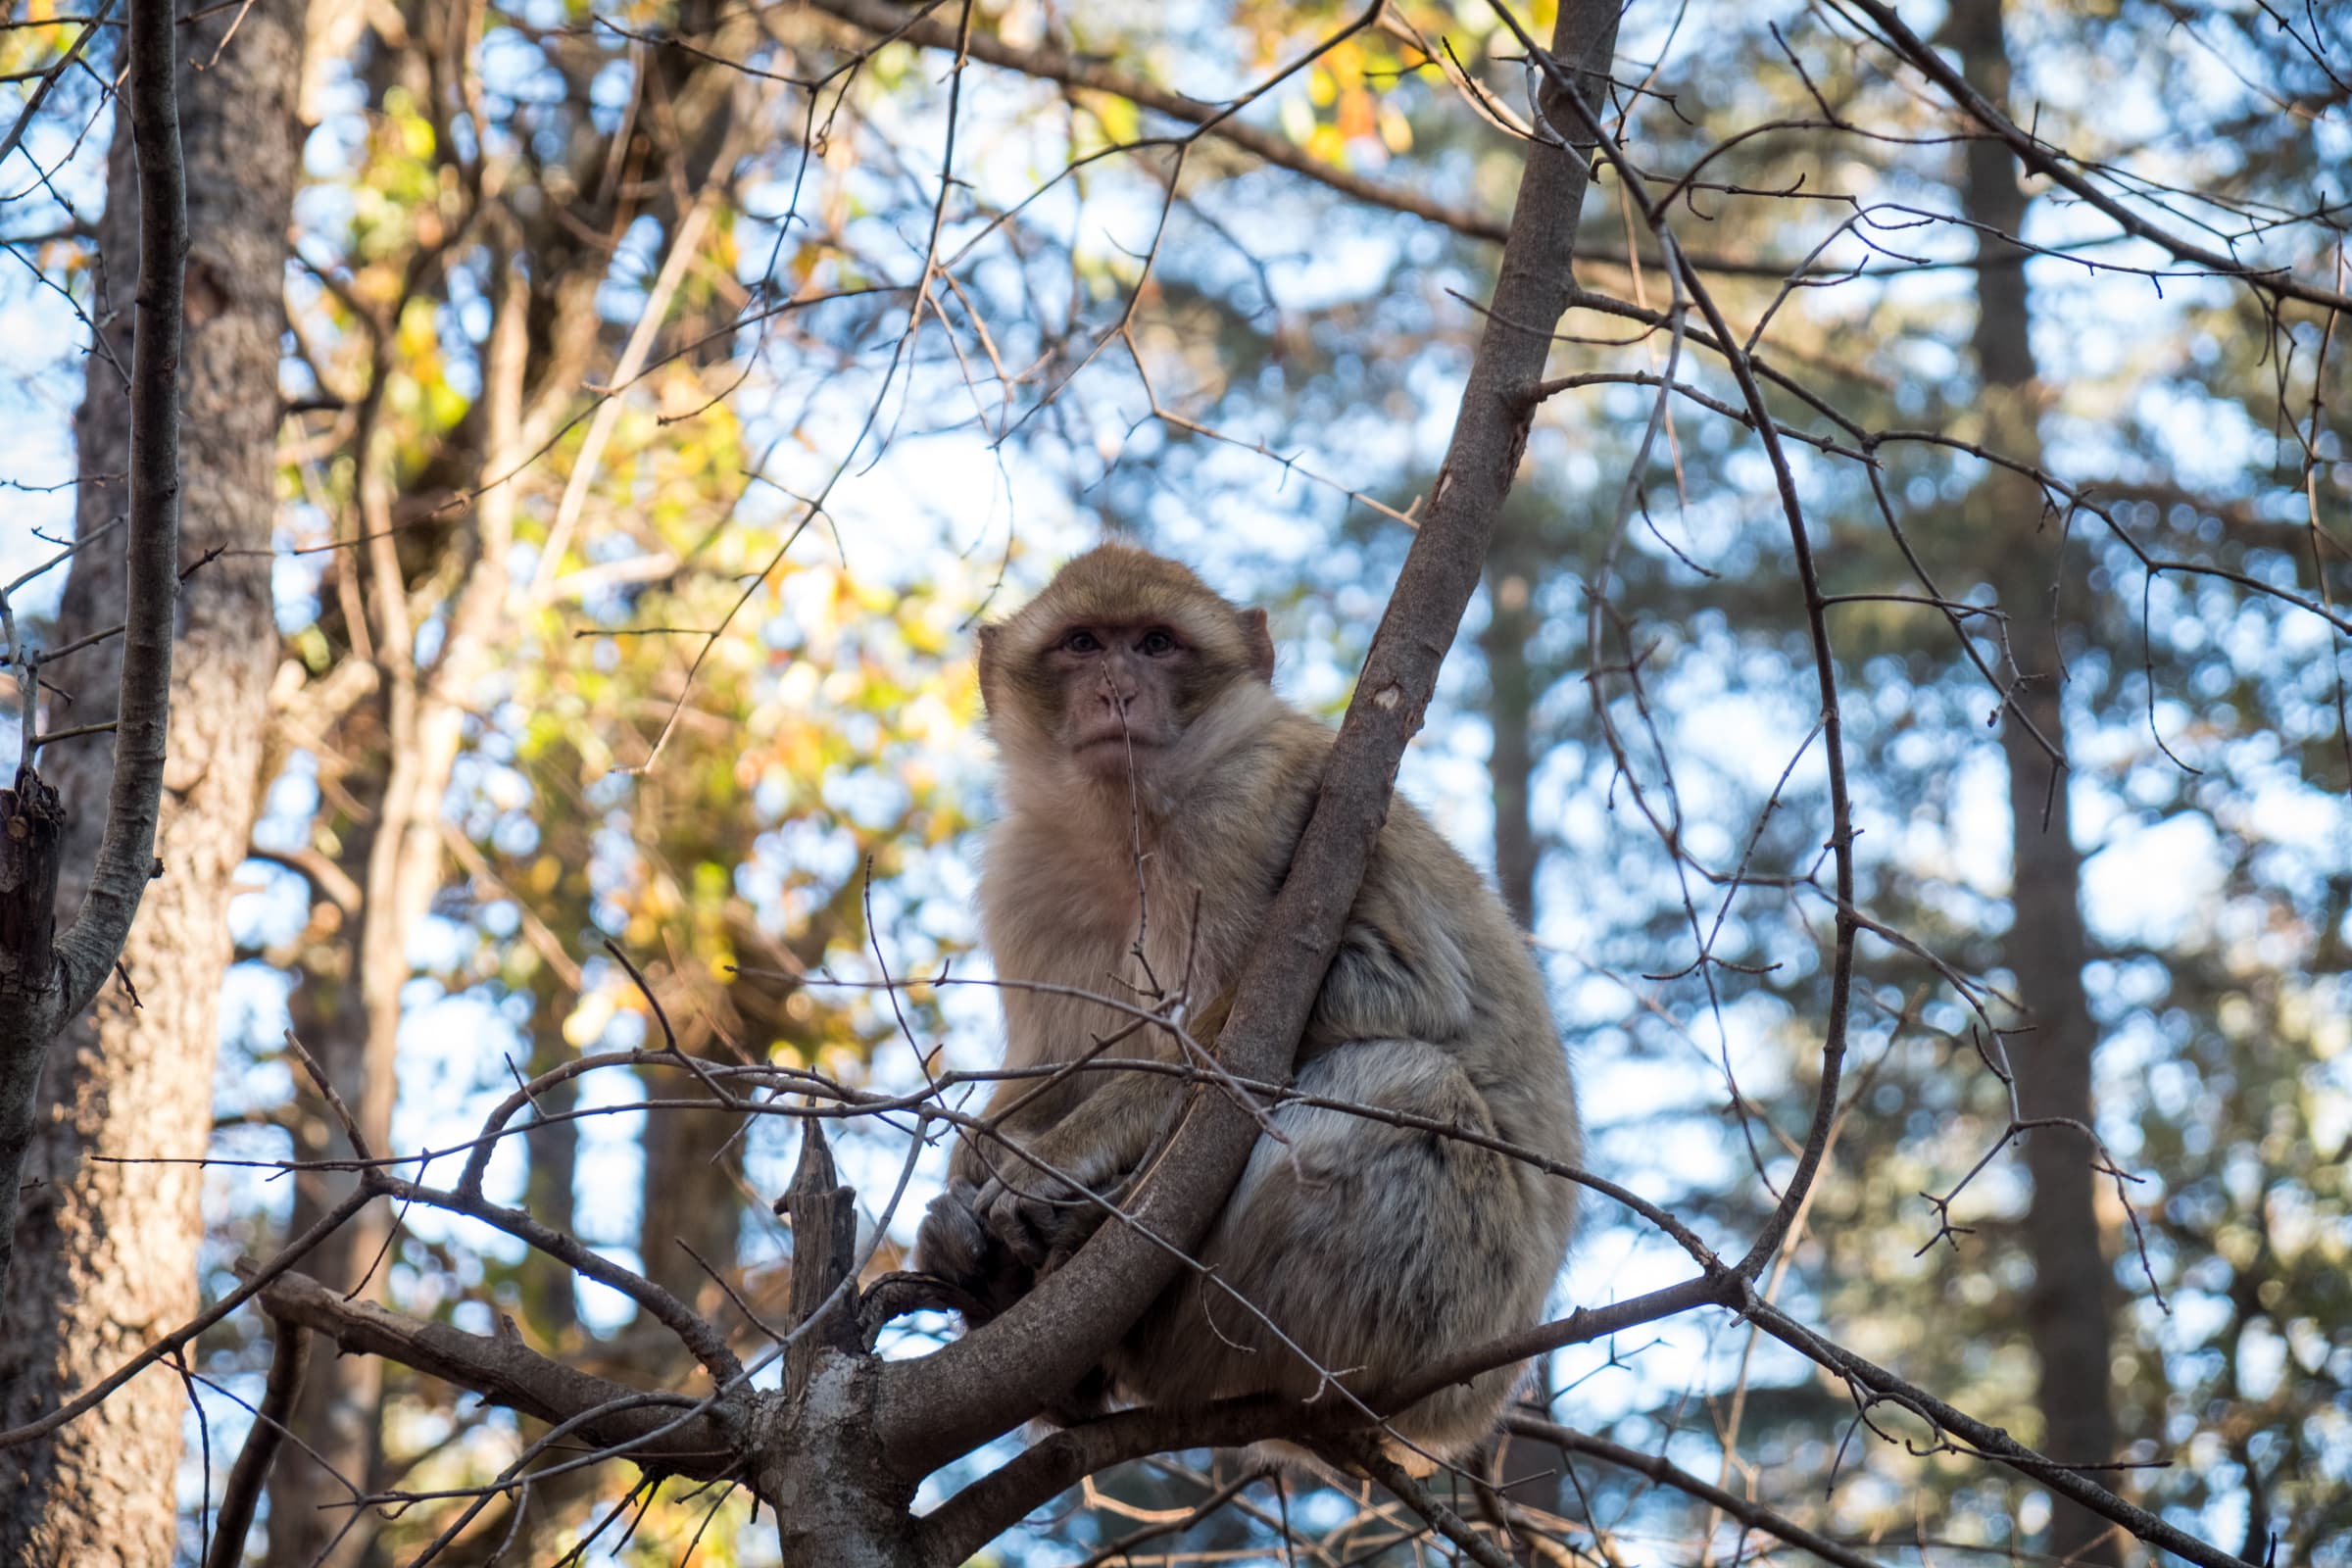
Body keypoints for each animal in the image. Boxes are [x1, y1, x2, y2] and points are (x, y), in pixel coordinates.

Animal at [917, 550, 1580, 1457]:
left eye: (1157, 644)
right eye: (1082, 644)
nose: (1116, 692)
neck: (1127, 826)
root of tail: (1464, 1413)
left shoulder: (1259, 803)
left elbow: (1382, 987)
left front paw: (1059, 1157)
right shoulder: (1026, 877)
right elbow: (1049, 1069)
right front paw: (966, 1182)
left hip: (1443, 1306)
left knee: (1403, 1082)